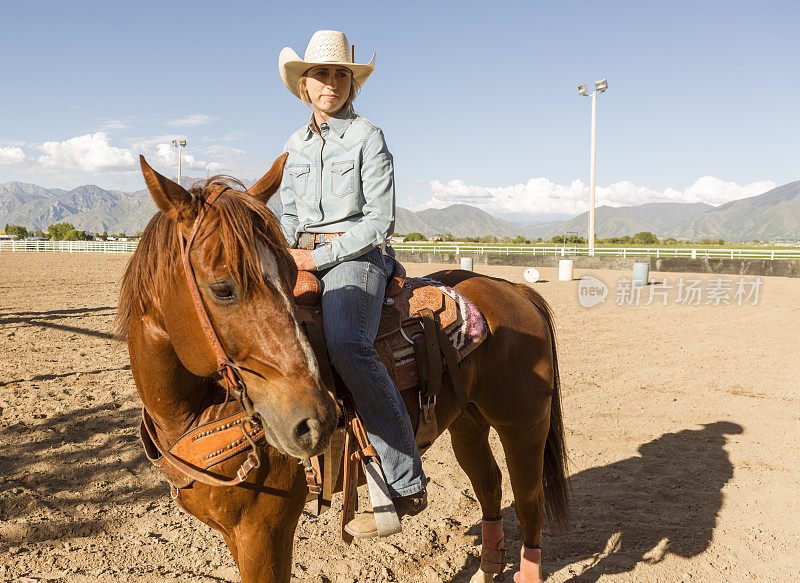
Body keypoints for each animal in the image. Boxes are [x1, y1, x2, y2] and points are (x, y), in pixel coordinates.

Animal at [117, 155, 568, 583]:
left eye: (287, 274)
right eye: (222, 288)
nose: (315, 422)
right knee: (489, 485)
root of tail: (513, 288)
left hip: (523, 426)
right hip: (468, 422)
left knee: (528, 503)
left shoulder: (264, 532)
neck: (192, 413)